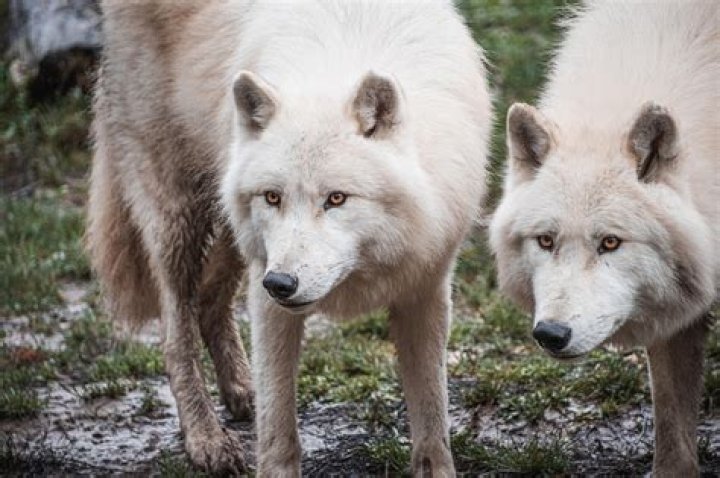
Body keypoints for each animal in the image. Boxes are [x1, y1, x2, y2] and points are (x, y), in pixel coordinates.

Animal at [87, 0, 491, 475]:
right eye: (273, 196)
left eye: (336, 198)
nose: (281, 283)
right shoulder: (268, 293)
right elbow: (279, 424)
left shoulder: (425, 285)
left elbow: (431, 413)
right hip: (180, 219)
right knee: (174, 335)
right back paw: (206, 438)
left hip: (233, 231)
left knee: (209, 301)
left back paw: (242, 392)